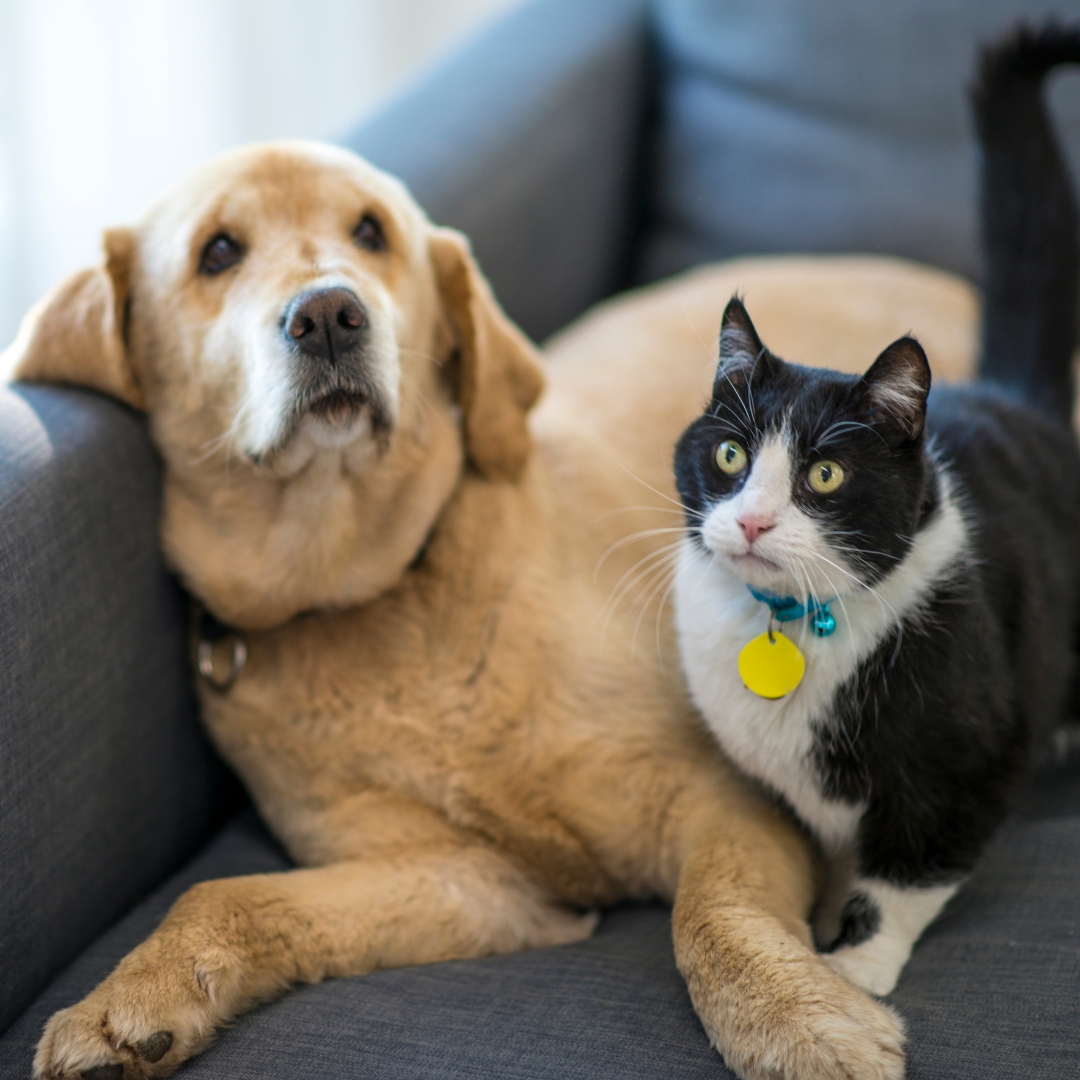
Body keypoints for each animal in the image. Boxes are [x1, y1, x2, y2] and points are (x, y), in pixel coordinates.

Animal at [2, 139, 980, 1075]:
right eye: (217, 251)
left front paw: (798, 1020)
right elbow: (225, 895)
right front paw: (133, 1001)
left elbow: (709, 917)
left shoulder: (725, 805)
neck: (374, 590)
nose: (329, 316)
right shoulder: (472, 880)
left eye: (371, 233)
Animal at [669, 23, 1080, 993]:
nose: (751, 520)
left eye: (824, 476)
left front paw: (852, 971)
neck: (790, 630)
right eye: (731, 456)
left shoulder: (969, 762)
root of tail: (1022, 403)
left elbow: (909, 870)